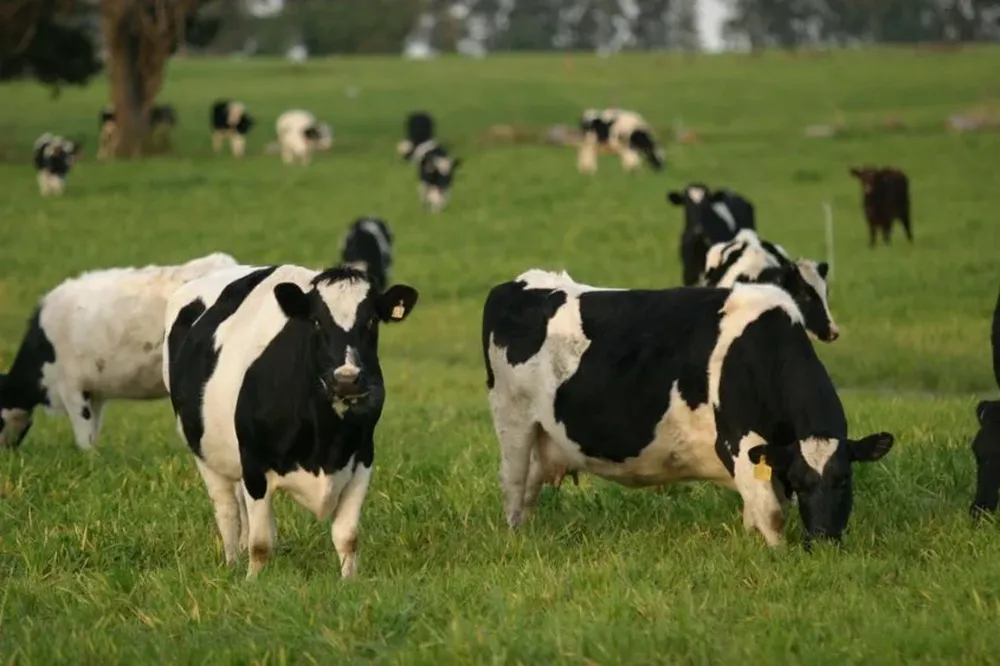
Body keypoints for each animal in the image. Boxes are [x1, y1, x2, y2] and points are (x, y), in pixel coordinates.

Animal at [162, 264, 419, 579]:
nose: (346, 379)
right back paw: (232, 563)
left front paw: (349, 581)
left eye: (372, 321)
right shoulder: (254, 464)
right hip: (204, 452)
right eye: (317, 322)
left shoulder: (362, 458)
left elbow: (347, 537)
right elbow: (261, 544)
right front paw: (252, 582)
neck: (325, 442)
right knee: (227, 511)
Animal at [482, 269, 895, 548]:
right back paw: (514, 538)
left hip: (544, 437)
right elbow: (772, 514)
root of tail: (518, 283)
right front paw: (777, 556)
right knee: (513, 485)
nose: (825, 539)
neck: (761, 348)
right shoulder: (739, 443)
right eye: (803, 481)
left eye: (844, 479)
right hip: (513, 422)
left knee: (531, 486)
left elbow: (758, 510)